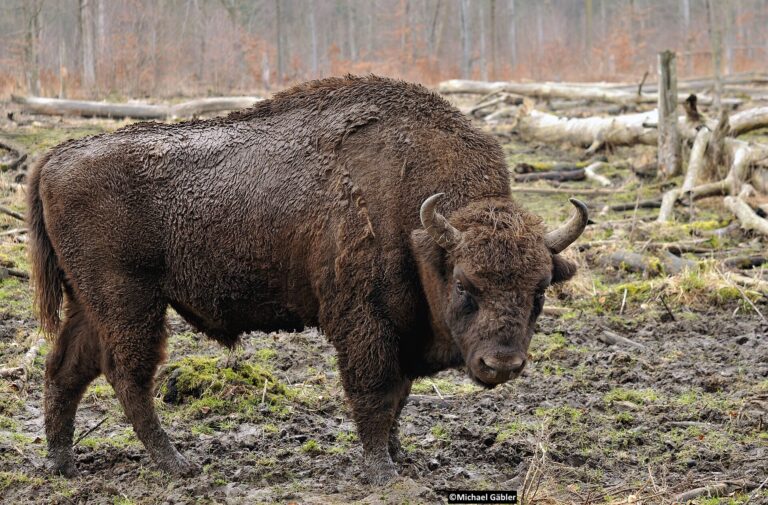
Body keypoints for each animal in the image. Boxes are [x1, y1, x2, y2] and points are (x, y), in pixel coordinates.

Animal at [28, 75, 587, 484]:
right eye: (466, 286)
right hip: (129, 301)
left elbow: (399, 396)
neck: (419, 227)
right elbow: (376, 393)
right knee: (127, 375)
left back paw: (62, 463)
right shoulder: (365, 323)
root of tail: (57, 155)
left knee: (65, 368)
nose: (502, 364)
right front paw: (383, 472)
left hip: (89, 302)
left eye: (540, 291)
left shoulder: (402, 330)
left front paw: (400, 456)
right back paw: (177, 464)